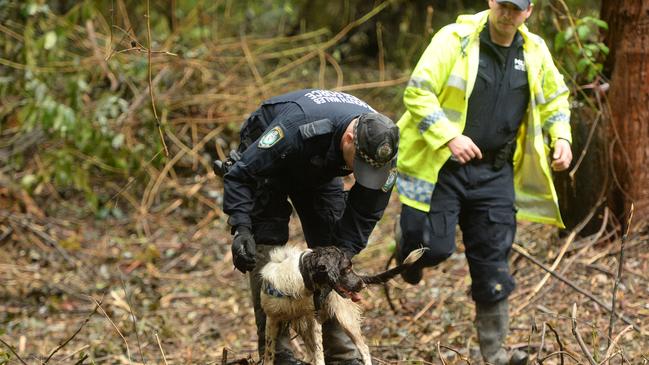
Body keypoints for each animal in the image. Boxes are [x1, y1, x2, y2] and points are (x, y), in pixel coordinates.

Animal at [258, 245, 426, 364]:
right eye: (347, 268)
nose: (362, 284)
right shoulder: (272, 319)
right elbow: (269, 353)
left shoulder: (313, 319)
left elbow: (319, 352)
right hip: (301, 325)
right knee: (310, 350)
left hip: (346, 319)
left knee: (363, 348)